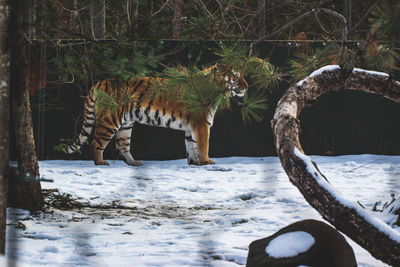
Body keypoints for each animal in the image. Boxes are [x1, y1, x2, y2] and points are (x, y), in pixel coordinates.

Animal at [63, 63, 247, 166]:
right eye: (236, 76)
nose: (246, 86)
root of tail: (99, 83)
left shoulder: (191, 127)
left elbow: (191, 145)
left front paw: (195, 163)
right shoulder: (201, 123)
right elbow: (202, 144)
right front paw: (207, 161)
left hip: (126, 125)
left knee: (122, 145)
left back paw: (134, 163)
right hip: (109, 120)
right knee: (96, 142)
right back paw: (100, 162)